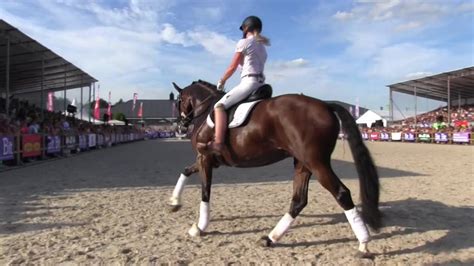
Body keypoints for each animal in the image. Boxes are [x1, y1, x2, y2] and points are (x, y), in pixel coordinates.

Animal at [168, 80, 382, 256]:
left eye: (178, 101)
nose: (180, 126)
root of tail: (326, 104)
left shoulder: (205, 158)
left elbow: (205, 192)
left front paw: (199, 227)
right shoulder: (208, 160)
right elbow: (185, 171)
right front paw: (174, 202)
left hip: (317, 163)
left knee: (341, 193)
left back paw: (364, 244)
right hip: (303, 163)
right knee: (299, 200)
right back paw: (271, 238)